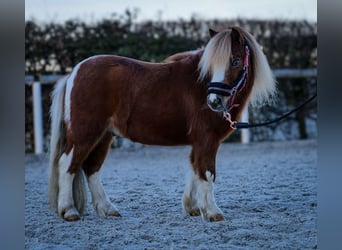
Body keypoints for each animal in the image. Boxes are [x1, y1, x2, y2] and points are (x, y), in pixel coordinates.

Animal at [48, 26, 276, 223]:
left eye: (236, 62)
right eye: (211, 66)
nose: (214, 102)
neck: (199, 85)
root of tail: (74, 72)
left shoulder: (198, 141)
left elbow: (194, 168)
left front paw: (193, 207)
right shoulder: (207, 139)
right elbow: (207, 171)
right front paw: (212, 212)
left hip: (104, 136)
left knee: (91, 168)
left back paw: (107, 209)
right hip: (85, 133)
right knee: (67, 164)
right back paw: (69, 211)